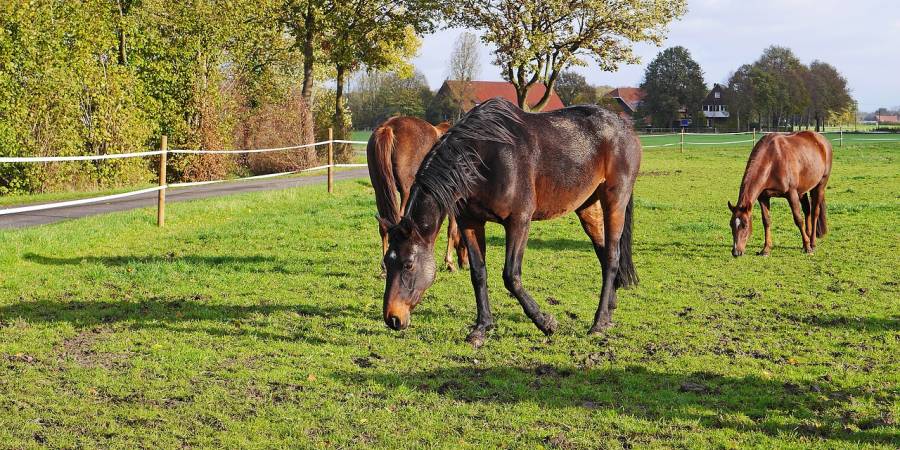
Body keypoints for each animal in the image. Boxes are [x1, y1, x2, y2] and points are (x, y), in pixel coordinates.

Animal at [364, 116, 468, 270]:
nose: (465, 264)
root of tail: (389, 126)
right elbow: (452, 228)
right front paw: (449, 262)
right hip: (406, 191)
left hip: (379, 188)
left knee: (383, 224)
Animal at [378, 97, 640, 344]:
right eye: (387, 262)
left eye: (408, 264)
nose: (392, 318)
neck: (484, 156)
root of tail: (623, 127)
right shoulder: (470, 222)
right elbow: (478, 273)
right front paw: (481, 328)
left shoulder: (518, 222)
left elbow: (511, 275)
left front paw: (545, 322)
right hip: (587, 207)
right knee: (603, 254)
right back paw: (610, 311)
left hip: (614, 201)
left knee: (612, 256)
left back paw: (599, 323)